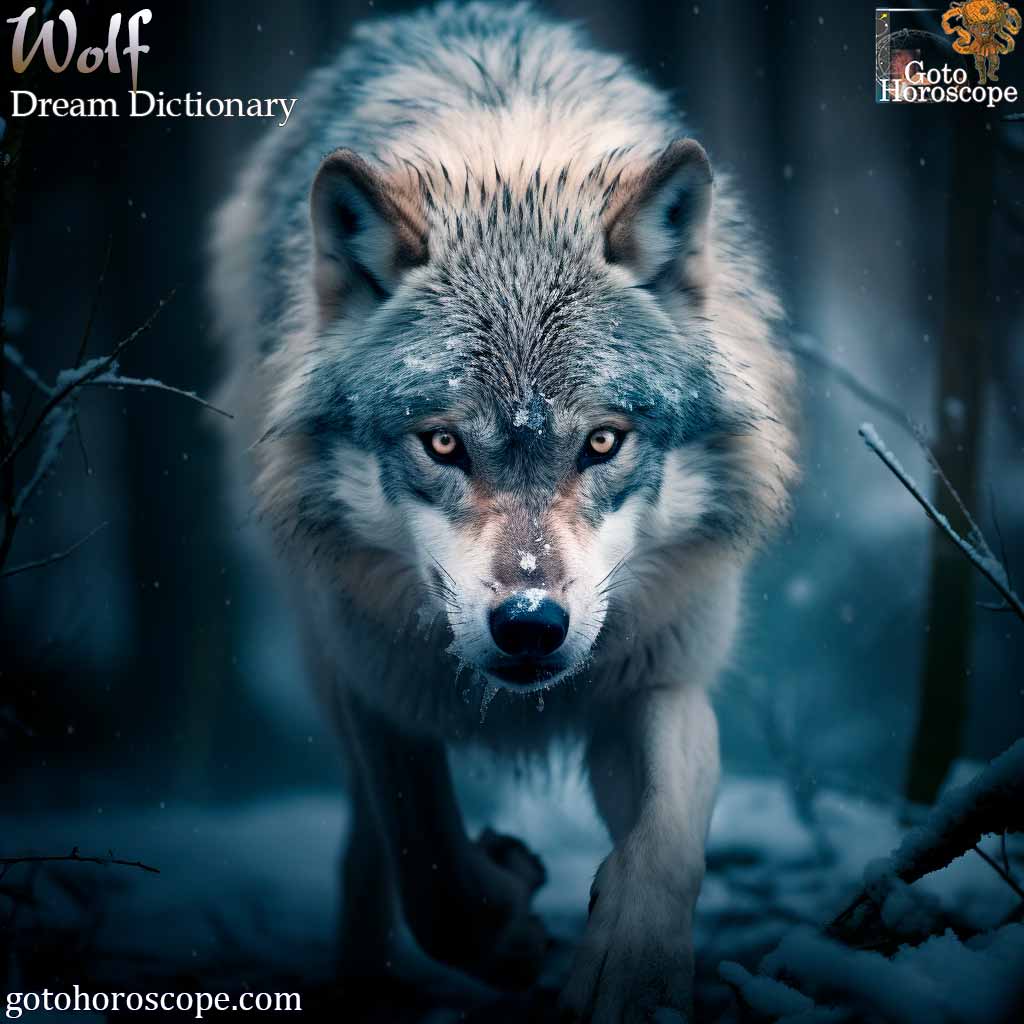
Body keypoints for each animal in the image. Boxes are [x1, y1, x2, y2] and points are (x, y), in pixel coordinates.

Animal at [211, 2, 797, 1019]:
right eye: (444, 445)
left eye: (601, 442)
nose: (530, 624)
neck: (511, 168)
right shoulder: (378, 683)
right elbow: (430, 868)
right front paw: (511, 928)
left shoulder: (658, 673)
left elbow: (672, 826)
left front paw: (630, 963)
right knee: (367, 851)